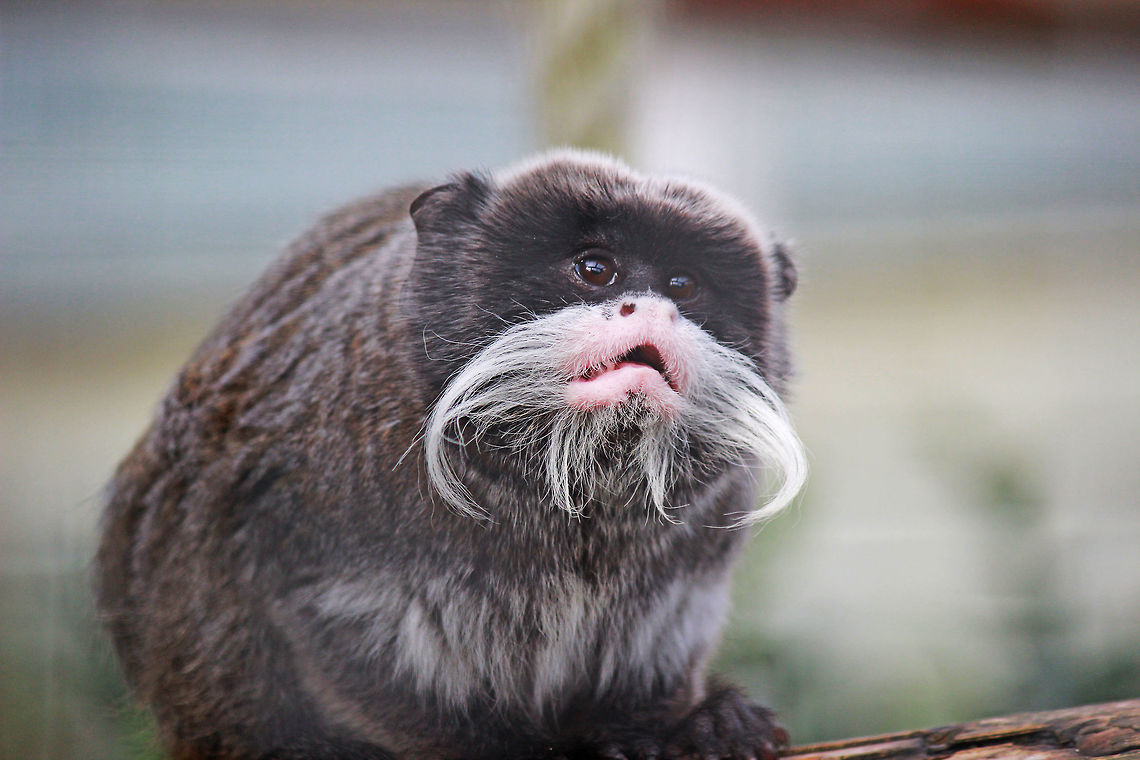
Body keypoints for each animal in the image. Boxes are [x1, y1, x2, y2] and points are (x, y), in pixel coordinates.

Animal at [94, 149, 807, 760]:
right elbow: (349, 659)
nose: (656, 308)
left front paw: (698, 724)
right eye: (594, 269)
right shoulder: (324, 513)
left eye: (684, 285)